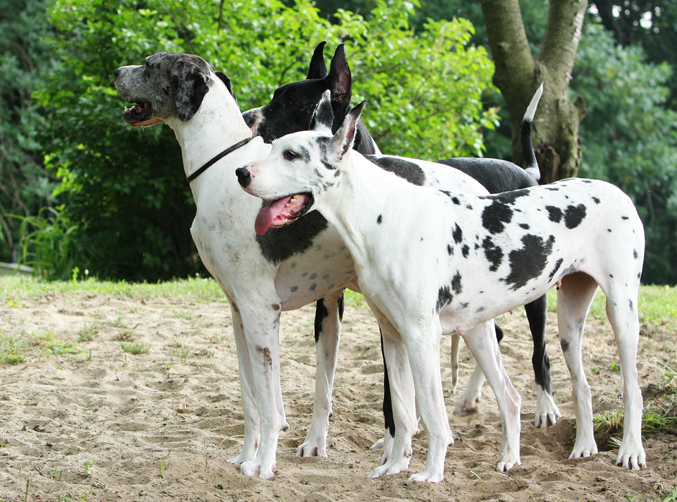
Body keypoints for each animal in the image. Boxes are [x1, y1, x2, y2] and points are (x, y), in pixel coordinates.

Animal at [235, 95, 648, 482]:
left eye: (292, 155)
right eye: (273, 147)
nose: (241, 172)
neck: (380, 212)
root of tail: (614, 191)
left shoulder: (421, 337)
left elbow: (432, 415)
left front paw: (431, 473)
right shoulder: (393, 336)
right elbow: (403, 412)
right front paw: (394, 467)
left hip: (619, 314)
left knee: (632, 389)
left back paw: (629, 451)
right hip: (553, 327)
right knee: (544, 392)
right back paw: (559, 450)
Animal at [244, 42, 560, 432]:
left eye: (292, 103)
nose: (247, 117)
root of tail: (528, 172)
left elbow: (392, 394)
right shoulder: (332, 305)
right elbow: (327, 381)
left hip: (534, 297)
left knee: (540, 352)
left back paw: (544, 407)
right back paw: (471, 397)